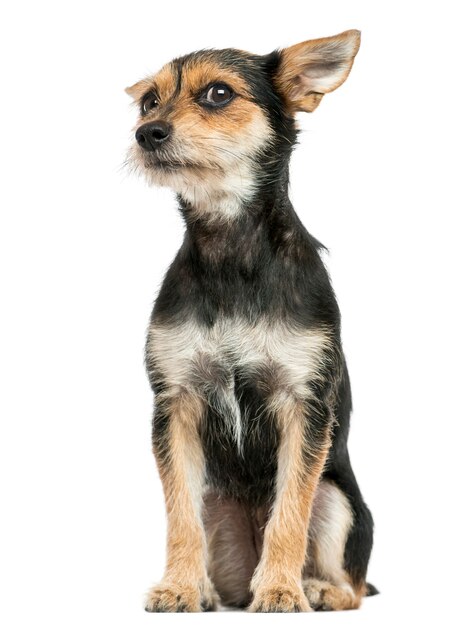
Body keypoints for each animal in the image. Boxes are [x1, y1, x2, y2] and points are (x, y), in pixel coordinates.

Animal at [125, 29, 376, 608]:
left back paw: (317, 589)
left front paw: (282, 589)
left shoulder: (303, 404)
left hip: (340, 501)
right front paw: (177, 586)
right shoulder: (176, 404)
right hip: (216, 502)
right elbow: (178, 517)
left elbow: (290, 511)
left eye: (218, 94)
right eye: (149, 101)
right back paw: (205, 589)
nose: (146, 133)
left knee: (354, 583)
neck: (231, 251)